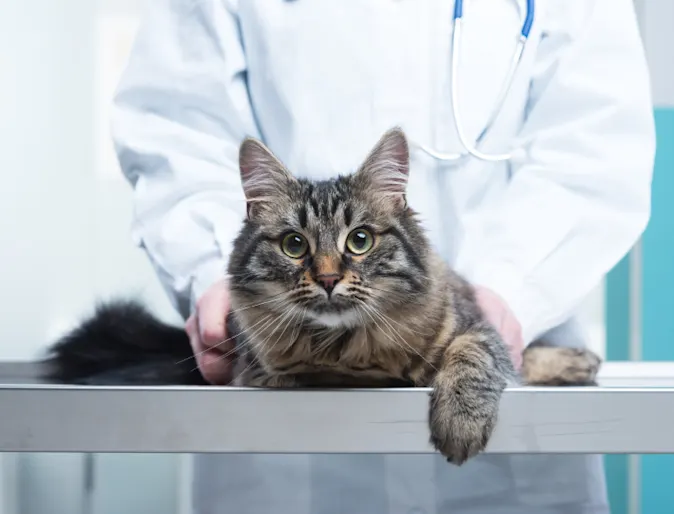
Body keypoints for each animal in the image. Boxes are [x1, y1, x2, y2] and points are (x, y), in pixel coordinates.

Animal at [42, 126, 600, 462]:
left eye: (360, 240)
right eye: (294, 245)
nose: (329, 278)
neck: (349, 348)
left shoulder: (472, 325)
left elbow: (474, 355)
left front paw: (460, 419)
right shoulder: (272, 369)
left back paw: (575, 362)